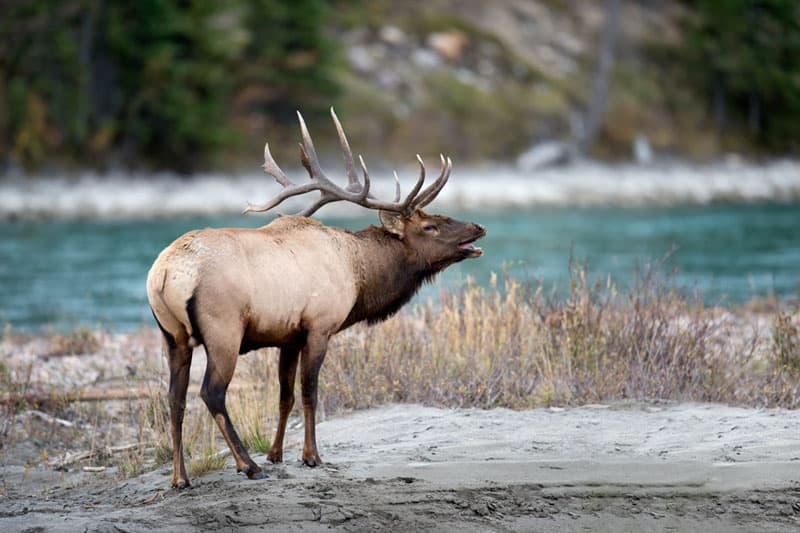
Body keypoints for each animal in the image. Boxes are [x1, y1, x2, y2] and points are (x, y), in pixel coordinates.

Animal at [146, 108, 484, 486]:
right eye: (430, 226)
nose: (477, 227)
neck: (358, 276)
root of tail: (164, 274)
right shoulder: (320, 326)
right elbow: (310, 393)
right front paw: (311, 456)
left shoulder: (288, 336)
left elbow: (285, 396)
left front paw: (277, 453)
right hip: (224, 330)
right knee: (211, 393)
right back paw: (247, 464)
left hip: (173, 336)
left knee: (174, 399)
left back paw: (180, 478)